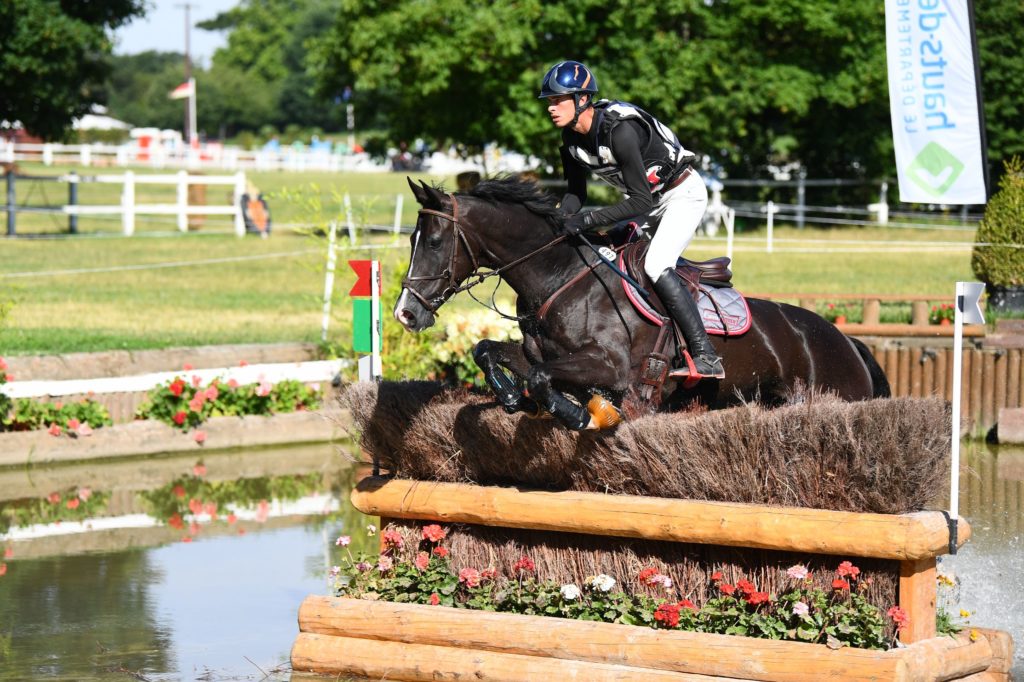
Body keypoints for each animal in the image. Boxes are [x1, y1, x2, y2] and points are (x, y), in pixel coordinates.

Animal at [391, 176, 888, 430]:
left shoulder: (611, 369)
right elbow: (489, 351)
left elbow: (543, 377)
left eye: (433, 241)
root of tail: (848, 341)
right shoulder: (538, 353)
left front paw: (576, 412)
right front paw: (512, 396)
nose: (405, 313)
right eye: (412, 239)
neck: (559, 279)